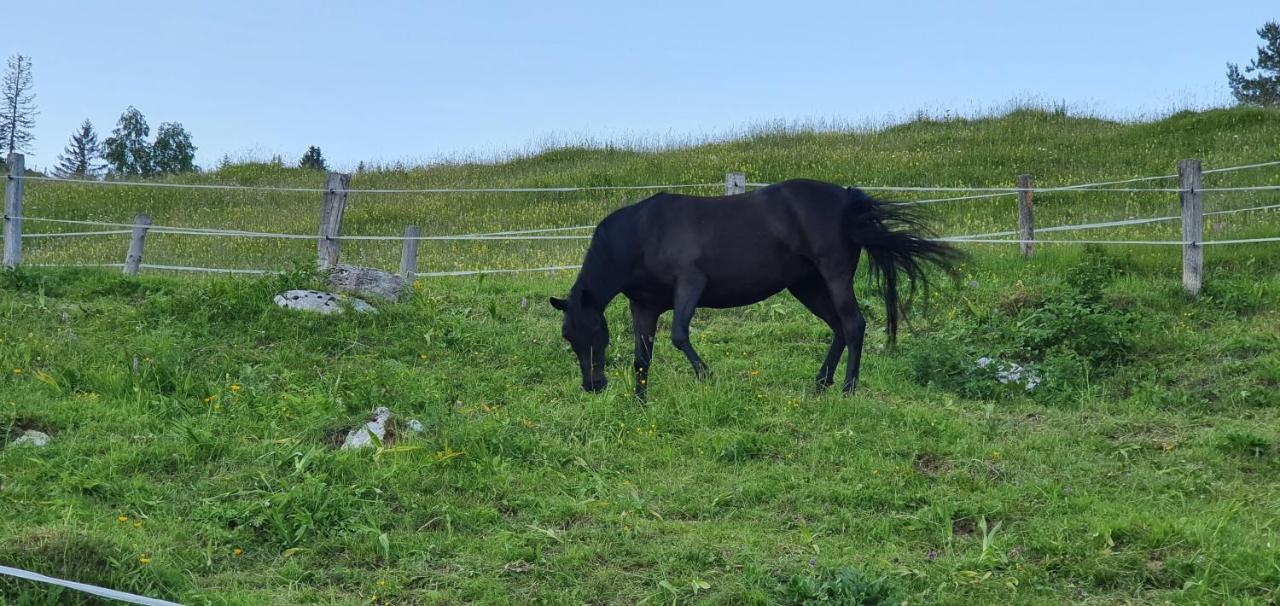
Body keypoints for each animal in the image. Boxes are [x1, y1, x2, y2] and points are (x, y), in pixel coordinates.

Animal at [550, 176, 962, 399]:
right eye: (569, 337)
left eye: (593, 333)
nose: (593, 385)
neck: (643, 234)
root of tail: (847, 198)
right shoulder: (645, 306)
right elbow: (642, 357)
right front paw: (640, 401)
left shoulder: (690, 285)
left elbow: (680, 336)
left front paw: (707, 376)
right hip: (807, 286)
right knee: (839, 328)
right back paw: (821, 384)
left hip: (833, 276)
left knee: (853, 324)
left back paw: (848, 388)